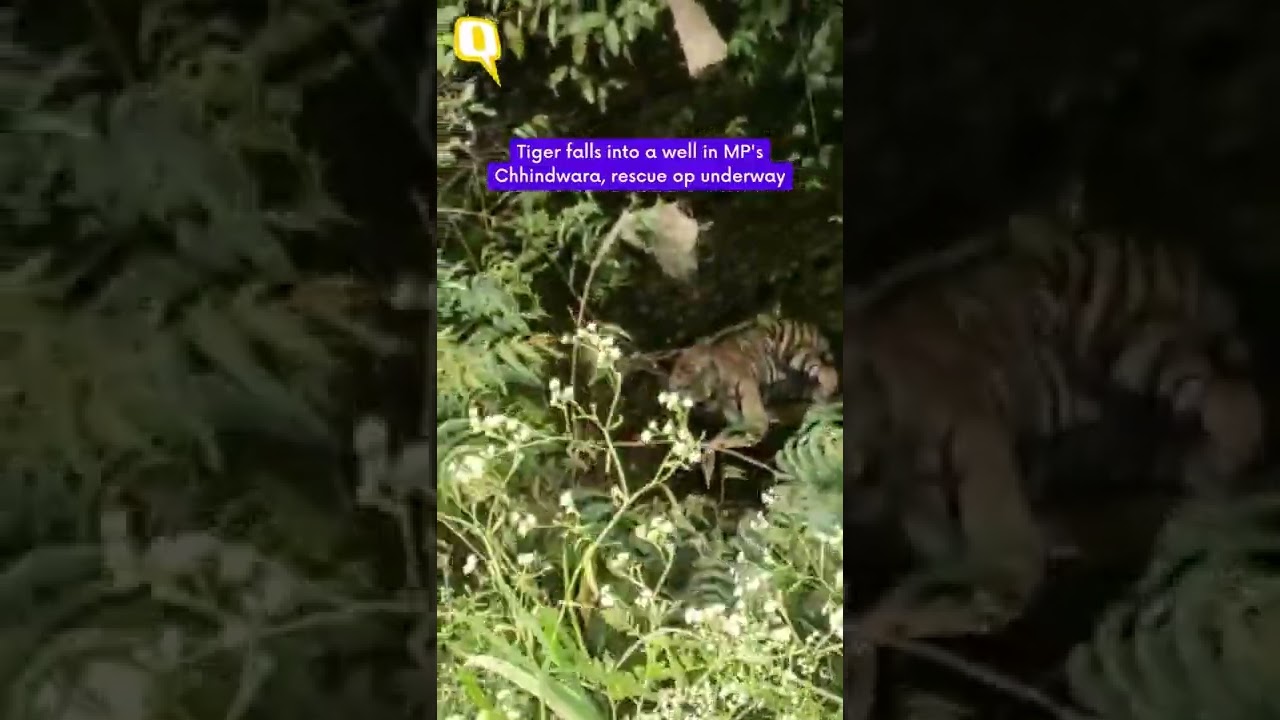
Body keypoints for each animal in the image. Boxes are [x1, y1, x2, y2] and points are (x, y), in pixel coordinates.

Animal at [666, 317, 840, 441]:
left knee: (828, 371)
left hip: (793, 354)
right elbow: (734, 418)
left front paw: (757, 426)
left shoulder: (744, 382)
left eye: (697, 376)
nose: (701, 403)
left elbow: (750, 405)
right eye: (682, 389)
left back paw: (824, 393)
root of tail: (805, 324)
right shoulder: (728, 403)